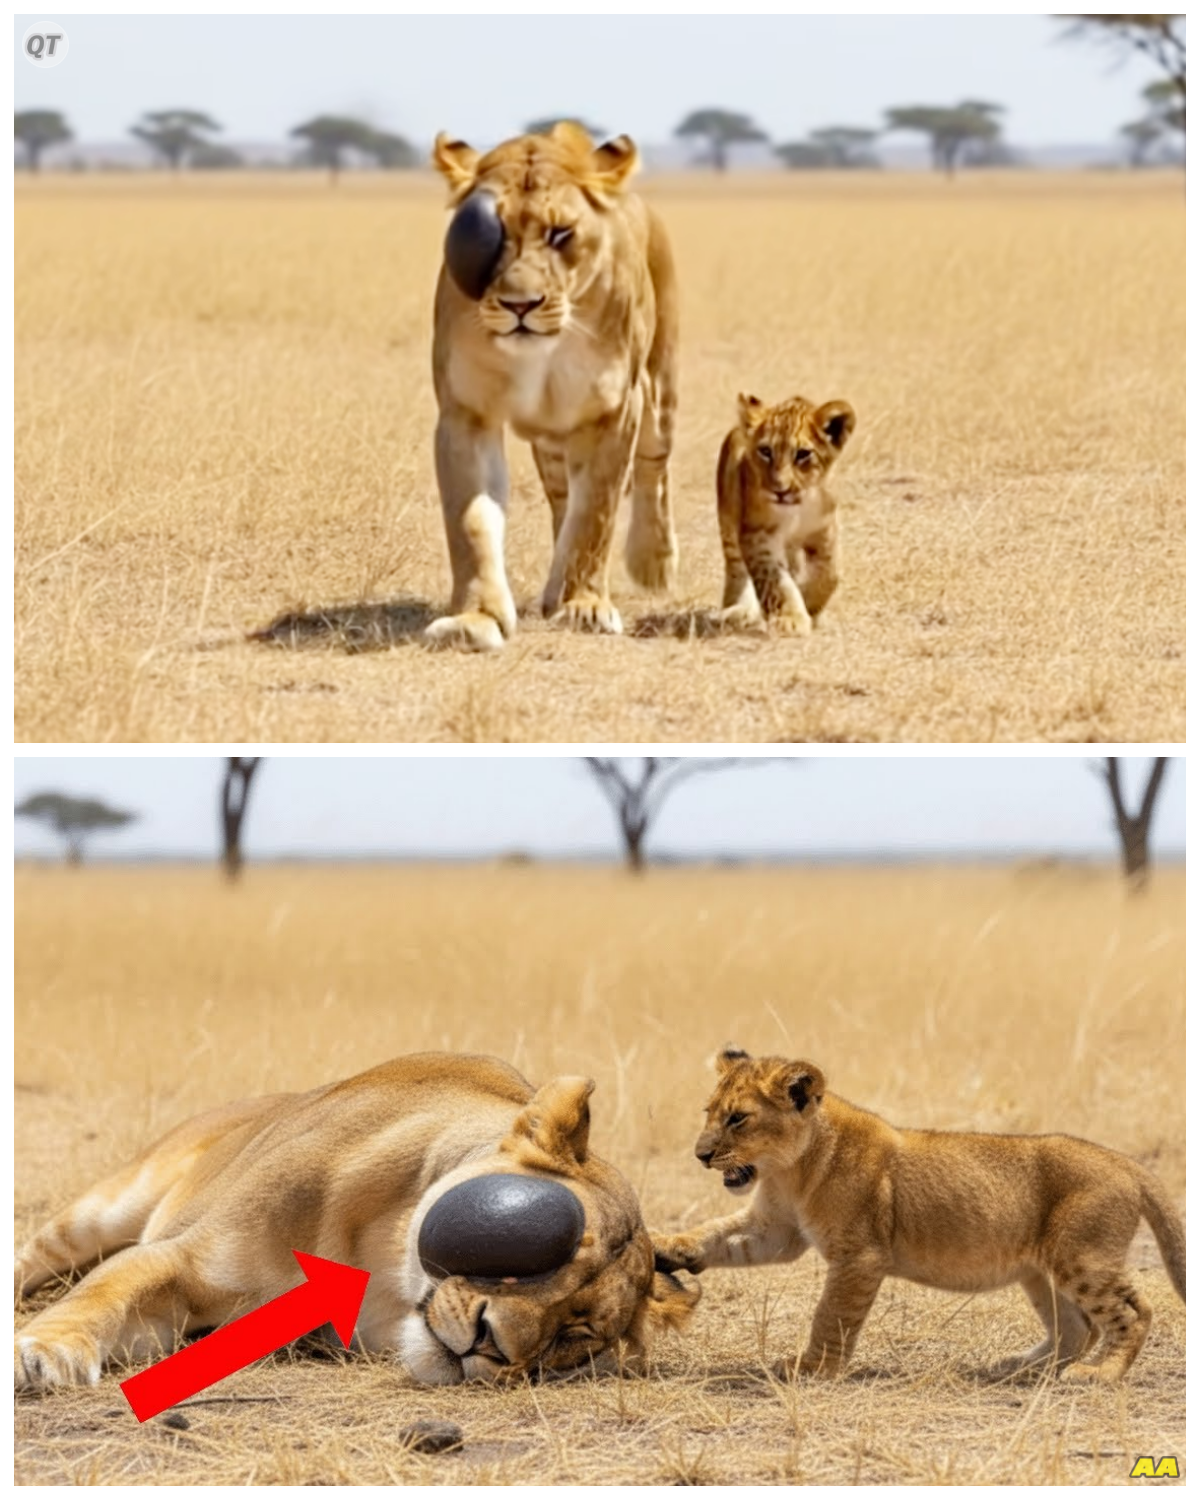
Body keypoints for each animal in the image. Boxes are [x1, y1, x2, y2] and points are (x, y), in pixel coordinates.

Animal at [15, 1053, 698, 1391]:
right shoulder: (181, 1259)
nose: (491, 1345)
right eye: (533, 1251)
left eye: (574, 1335)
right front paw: (42, 1353)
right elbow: (100, 1294)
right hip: (101, 1211)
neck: (386, 1263)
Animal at [424, 121, 679, 651]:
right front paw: (475, 617)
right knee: (563, 500)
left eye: (561, 233)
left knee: (653, 467)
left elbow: (597, 514)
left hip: (659, 388)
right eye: (490, 234)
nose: (520, 304)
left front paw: (585, 606)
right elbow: (471, 522)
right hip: (551, 440)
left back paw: (653, 563)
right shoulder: (466, 415)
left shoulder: (614, 412)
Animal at [653, 1048, 1184, 1383]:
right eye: (708, 1111)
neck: (789, 1169)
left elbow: (831, 1315)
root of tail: (1125, 1161)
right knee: (1075, 1327)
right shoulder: (775, 1229)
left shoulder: (860, 1255)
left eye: (738, 1118)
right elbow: (719, 1236)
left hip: (1082, 1258)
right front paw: (665, 1245)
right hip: (1039, 1269)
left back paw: (1100, 1374)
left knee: (1132, 1313)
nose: (701, 1155)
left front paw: (812, 1369)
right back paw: (1016, 1367)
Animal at [718, 393, 856, 634]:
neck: (797, 508)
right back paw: (737, 610)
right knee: (736, 569)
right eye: (765, 452)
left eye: (803, 454)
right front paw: (790, 619)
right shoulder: (758, 535)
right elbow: (775, 581)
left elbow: (830, 574)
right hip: (729, 525)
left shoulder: (825, 531)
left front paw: (810, 605)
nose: (780, 490)